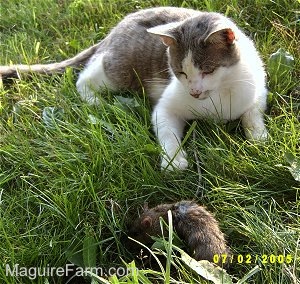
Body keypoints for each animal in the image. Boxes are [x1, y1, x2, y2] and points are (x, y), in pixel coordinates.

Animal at [0, 7, 268, 171]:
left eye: (208, 70)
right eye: (180, 72)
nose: (194, 92)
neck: (221, 94)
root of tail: (114, 30)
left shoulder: (258, 87)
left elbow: (253, 111)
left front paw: (258, 135)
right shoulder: (166, 106)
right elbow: (166, 129)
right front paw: (173, 161)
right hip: (120, 70)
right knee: (84, 78)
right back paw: (101, 101)